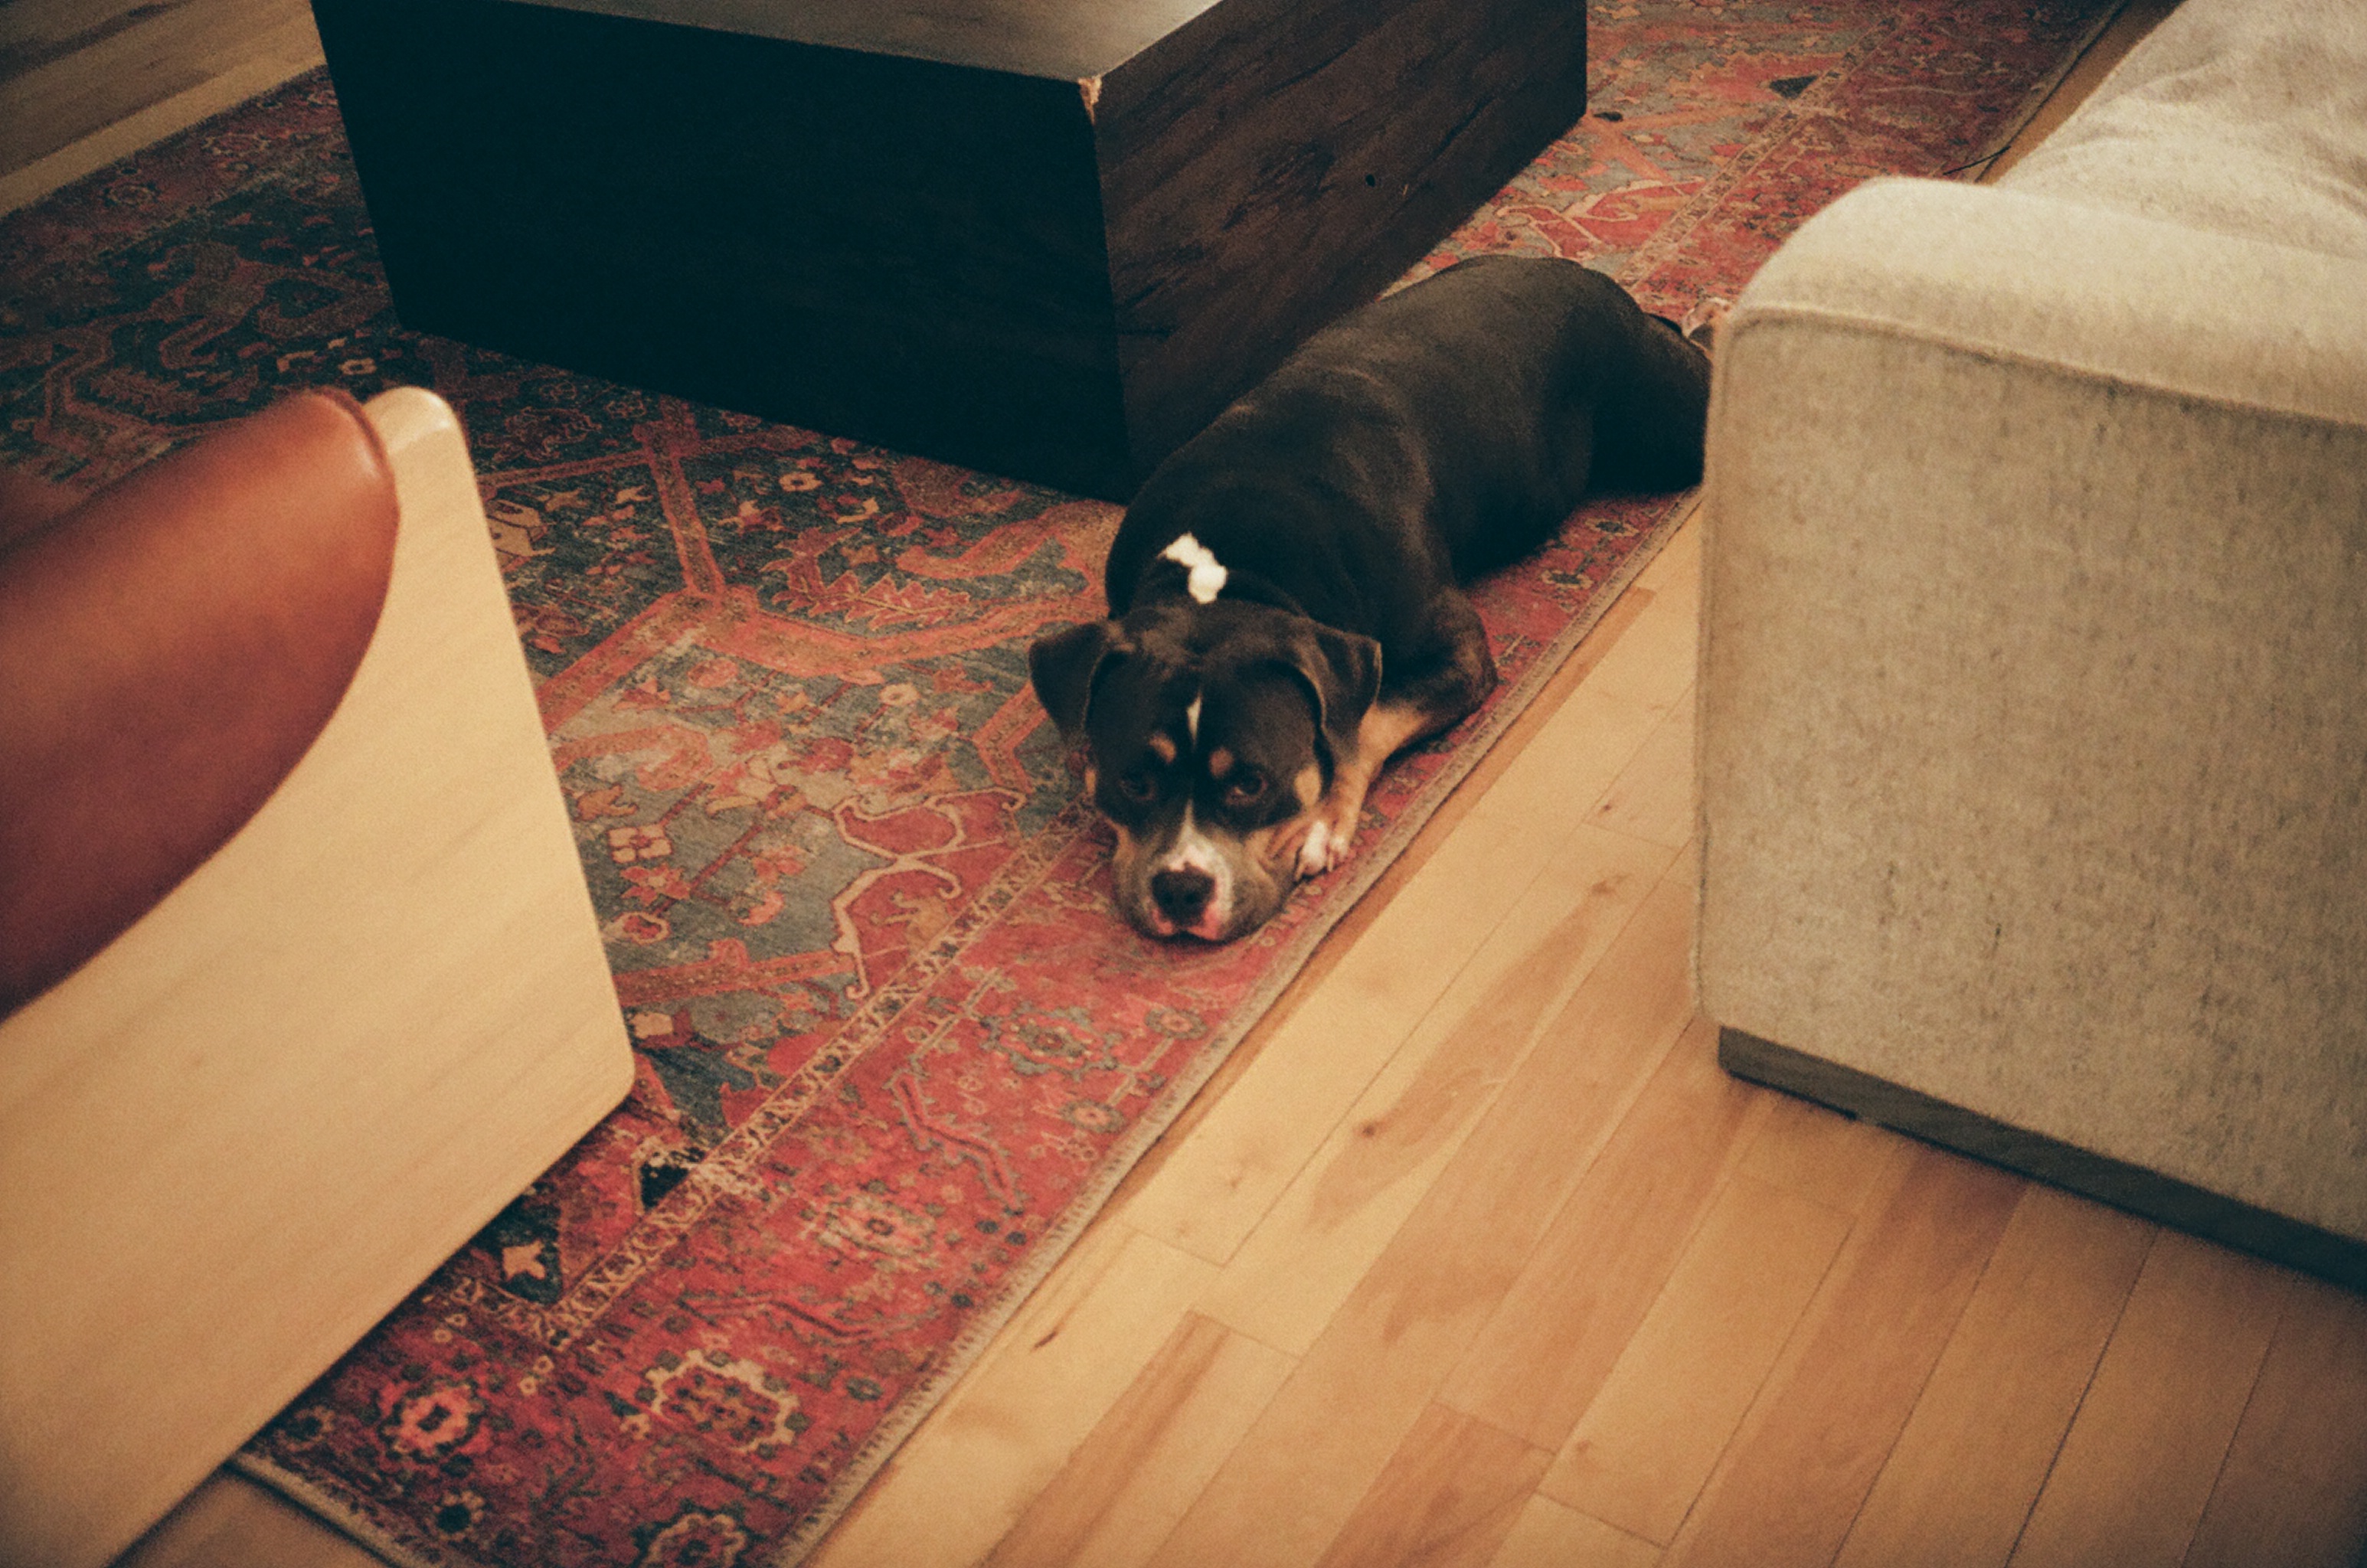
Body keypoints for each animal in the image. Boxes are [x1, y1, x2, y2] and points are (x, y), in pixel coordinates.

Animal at [1028, 255, 1712, 942]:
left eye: (1252, 783)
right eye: (1132, 780)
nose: (1181, 889)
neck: (1231, 573)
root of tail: (1575, 269)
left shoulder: (1458, 651)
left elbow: (1364, 720)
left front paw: (1322, 823)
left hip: (1670, 430)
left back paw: (1714, 314)